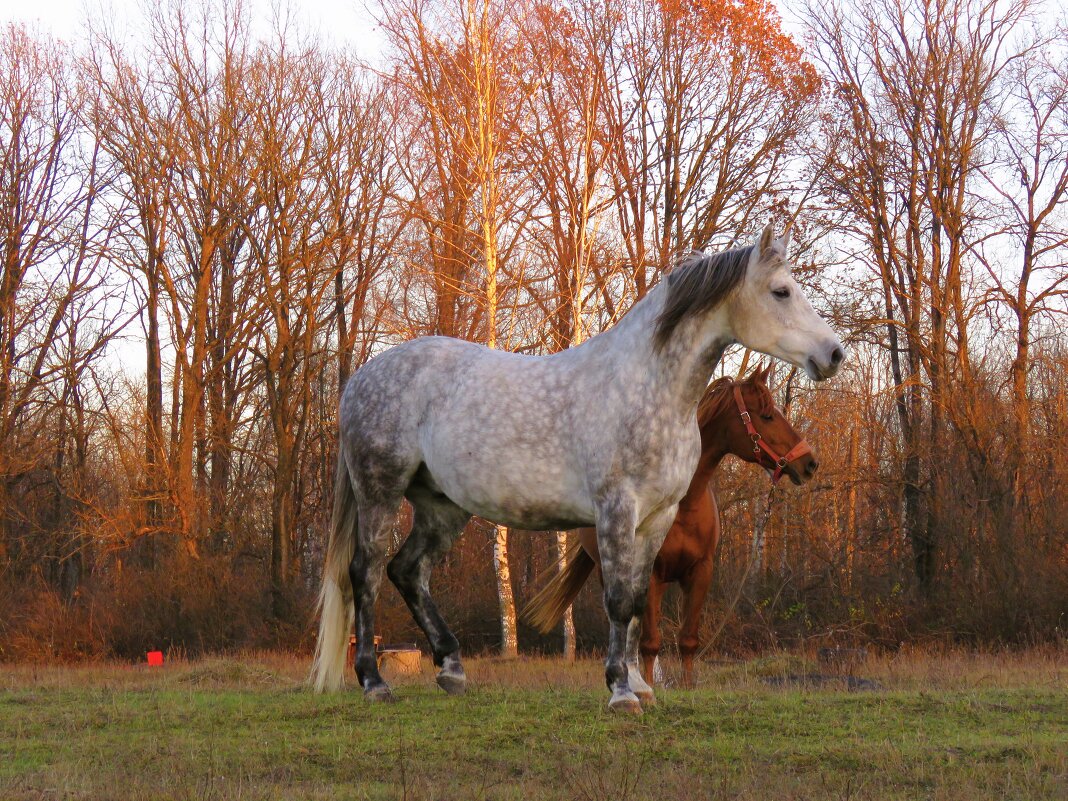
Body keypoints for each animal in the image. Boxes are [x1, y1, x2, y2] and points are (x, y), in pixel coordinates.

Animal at [521, 369, 811, 692]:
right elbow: (649, 642)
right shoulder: (652, 575)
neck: (684, 507)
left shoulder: (700, 572)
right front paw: (647, 684)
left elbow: (687, 638)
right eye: (767, 415)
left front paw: (686, 685)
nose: (810, 463)